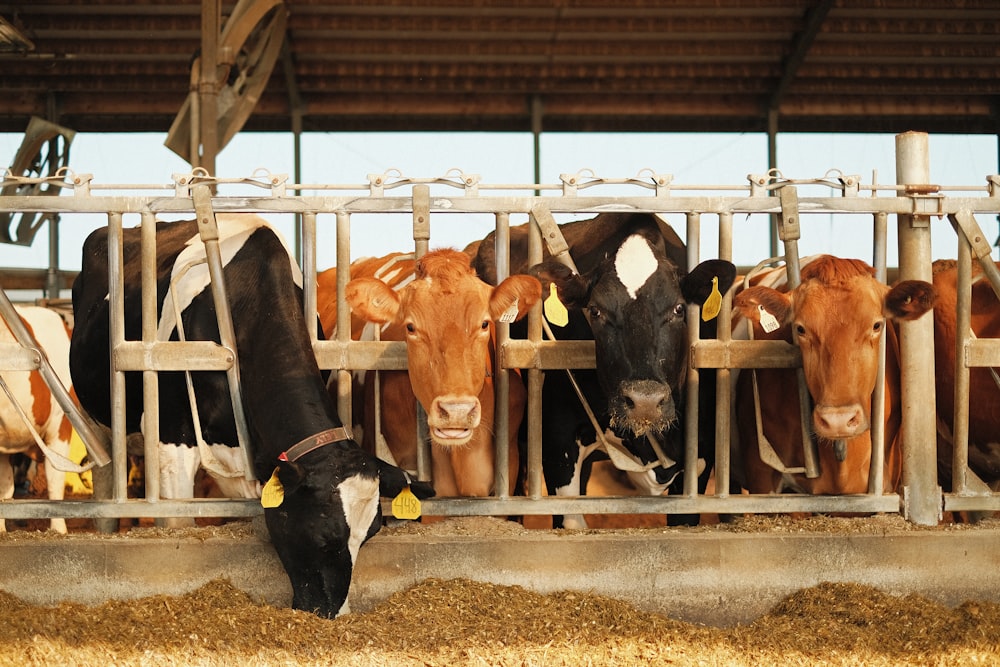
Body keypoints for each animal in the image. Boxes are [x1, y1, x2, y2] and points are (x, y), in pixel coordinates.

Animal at [69, 214, 430, 616]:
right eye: (324, 534)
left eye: (371, 533)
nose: (335, 614)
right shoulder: (170, 439)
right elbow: (177, 521)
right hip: (96, 416)